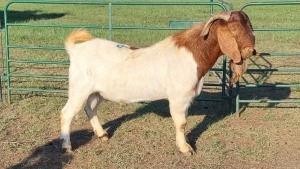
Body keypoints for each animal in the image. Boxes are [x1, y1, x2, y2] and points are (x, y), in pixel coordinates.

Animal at [60, 10, 255, 156]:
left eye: (249, 25)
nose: (251, 51)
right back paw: (67, 146)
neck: (192, 54)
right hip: (79, 89)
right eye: (234, 29)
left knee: (90, 108)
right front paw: (185, 148)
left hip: (96, 91)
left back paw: (102, 135)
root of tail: (75, 50)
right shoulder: (178, 97)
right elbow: (181, 123)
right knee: (67, 113)